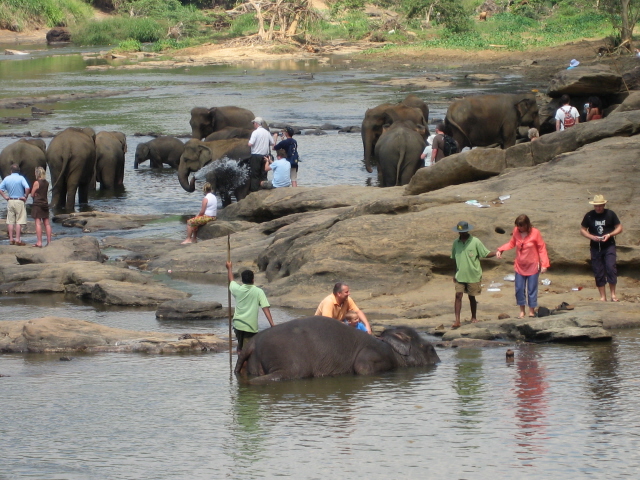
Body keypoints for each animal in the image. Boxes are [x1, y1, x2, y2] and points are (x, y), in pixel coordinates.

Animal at [235, 316, 440, 384]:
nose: (439, 362)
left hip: (251, 362)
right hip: (288, 360)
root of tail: (252, 343)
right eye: (431, 349)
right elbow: (362, 368)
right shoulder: (377, 354)